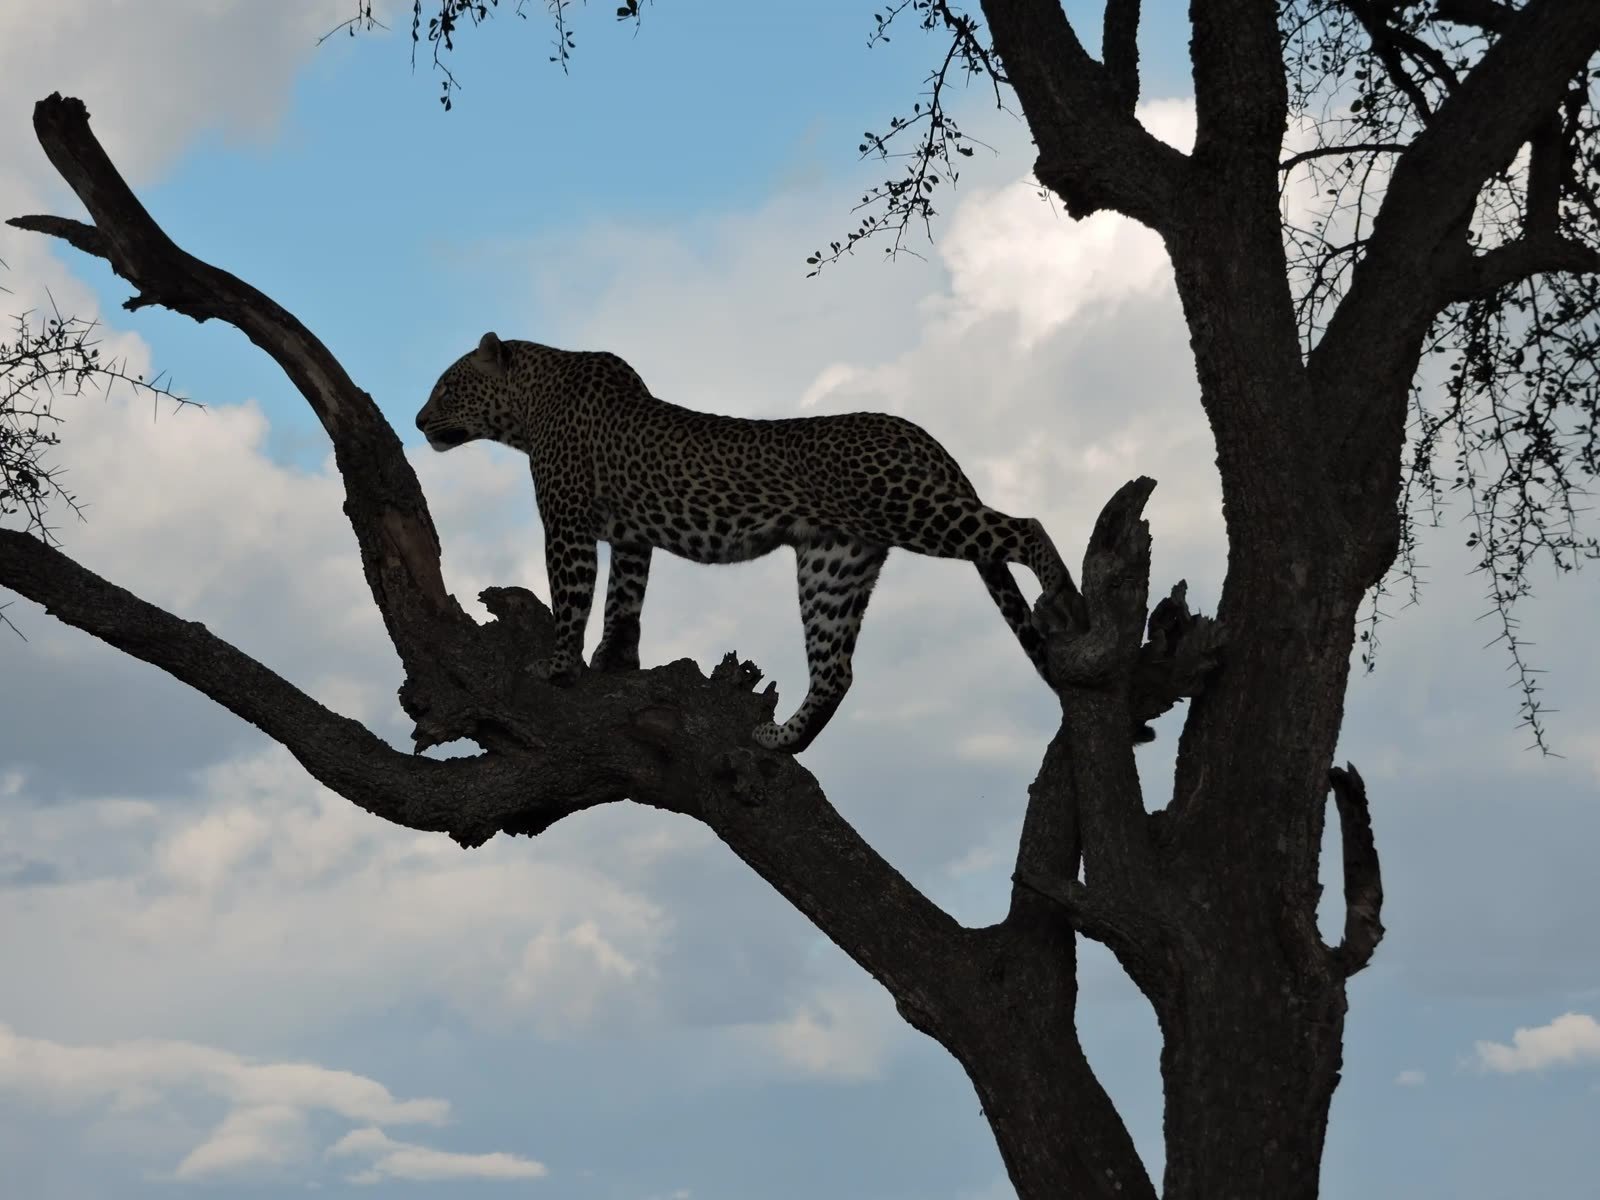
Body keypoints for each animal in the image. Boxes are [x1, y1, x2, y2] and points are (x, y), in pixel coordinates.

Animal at [416, 332, 1080, 754]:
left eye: (447, 388)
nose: (420, 422)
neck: (528, 410)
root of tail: (917, 431)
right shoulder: (629, 537)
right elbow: (624, 601)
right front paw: (614, 661)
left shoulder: (568, 525)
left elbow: (572, 595)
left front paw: (558, 666)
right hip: (833, 564)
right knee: (835, 670)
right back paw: (783, 741)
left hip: (910, 510)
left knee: (1025, 528)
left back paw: (1063, 593)